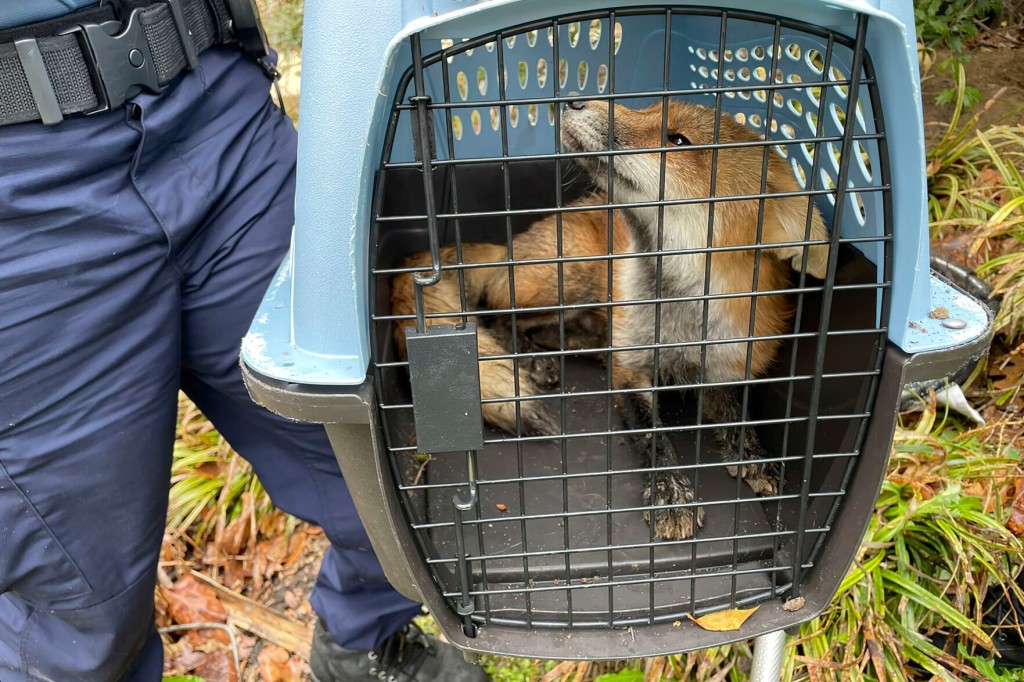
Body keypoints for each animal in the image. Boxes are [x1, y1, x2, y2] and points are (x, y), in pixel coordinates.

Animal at [391, 97, 830, 540]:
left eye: (678, 140)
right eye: (649, 107)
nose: (574, 99)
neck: (679, 320)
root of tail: (510, 247)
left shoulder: (726, 364)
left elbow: (739, 413)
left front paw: (754, 454)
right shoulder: (631, 371)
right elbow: (654, 435)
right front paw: (670, 492)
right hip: (569, 278)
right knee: (497, 314)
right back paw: (533, 360)